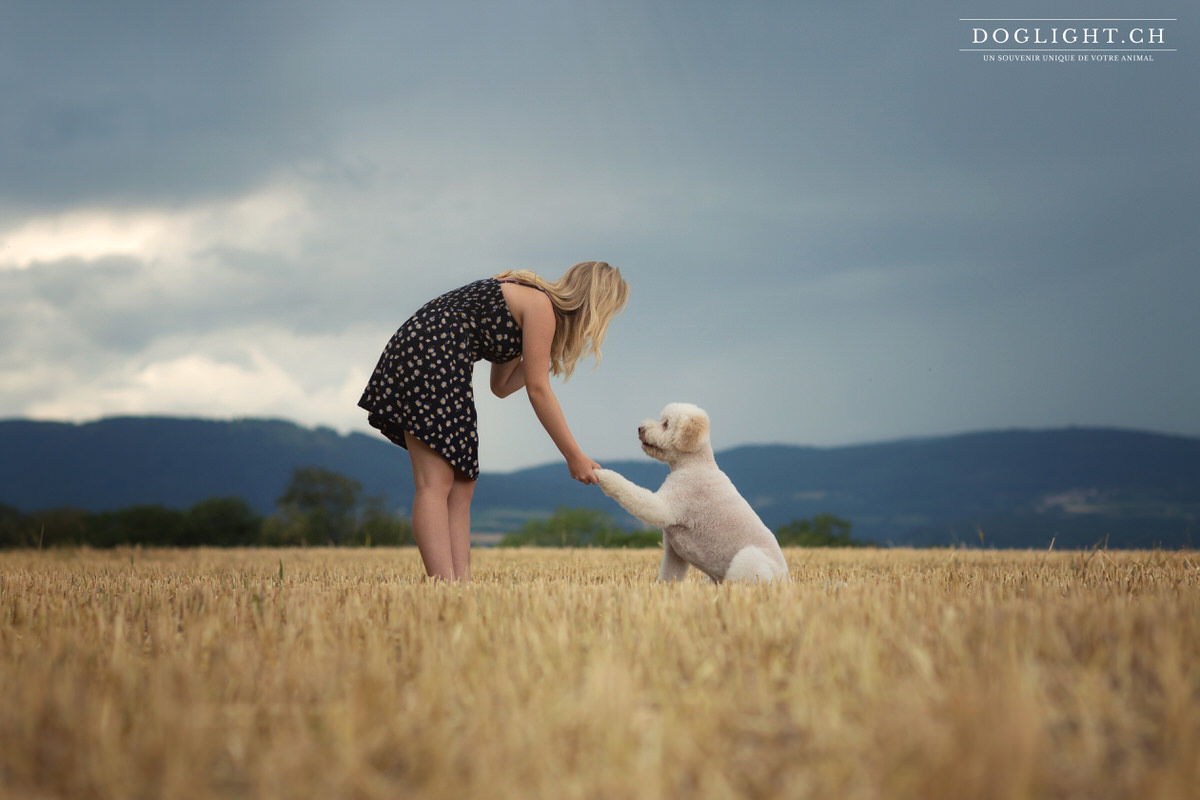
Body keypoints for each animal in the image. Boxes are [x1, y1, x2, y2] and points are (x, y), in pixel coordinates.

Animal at [597, 402, 787, 585]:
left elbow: (630, 490)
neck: (693, 464)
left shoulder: (665, 506)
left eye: (666, 424)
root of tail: (787, 580)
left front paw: (603, 474)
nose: (640, 428)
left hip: (748, 559)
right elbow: (668, 577)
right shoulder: (674, 552)